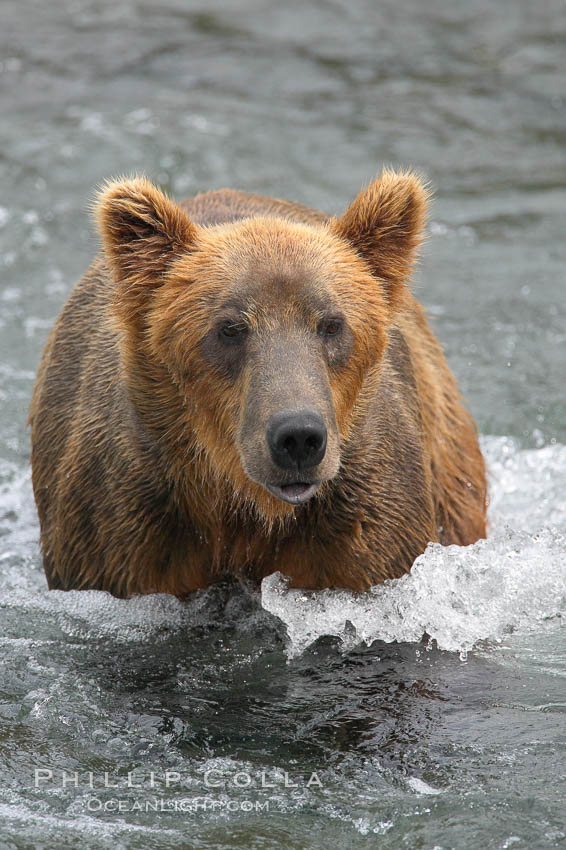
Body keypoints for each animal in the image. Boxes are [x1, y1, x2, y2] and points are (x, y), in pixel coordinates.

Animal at [27, 169, 488, 596]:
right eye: (229, 328)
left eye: (332, 323)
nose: (298, 437)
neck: (246, 508)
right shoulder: (126, 527)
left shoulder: (363, 522)